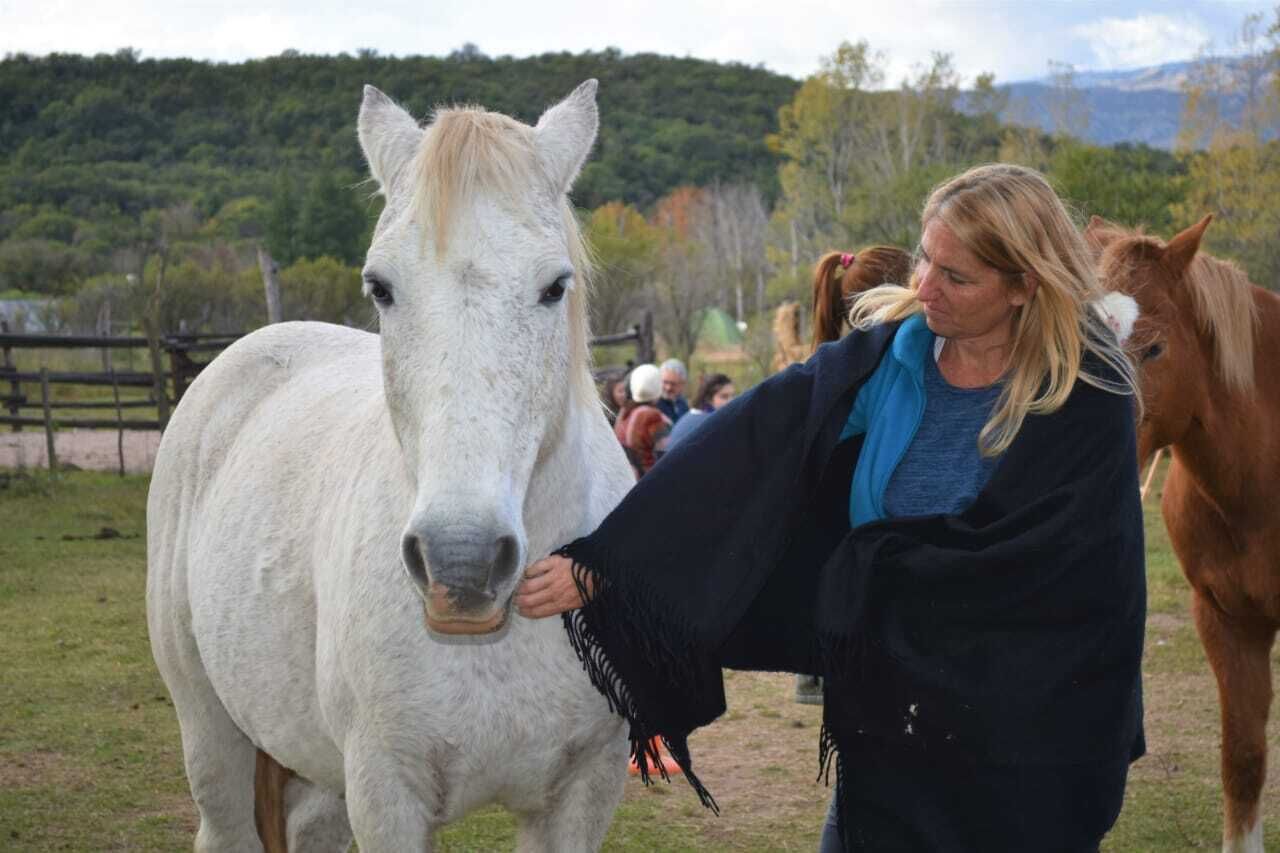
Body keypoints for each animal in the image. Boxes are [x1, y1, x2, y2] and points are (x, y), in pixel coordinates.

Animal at [146, 81, 635, 852]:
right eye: (381, 286)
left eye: (556, 286)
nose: (461, 560)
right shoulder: (385, 791)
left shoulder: (583, 791)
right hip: (213, 737)